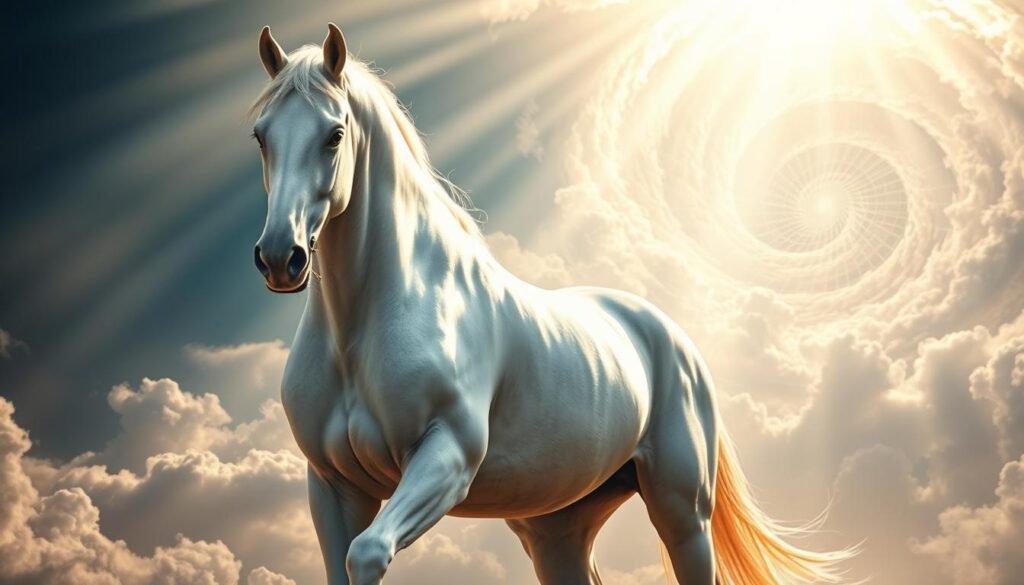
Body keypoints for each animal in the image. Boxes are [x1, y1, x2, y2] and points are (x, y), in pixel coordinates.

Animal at [248, 23, 854, 585]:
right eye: (260, 136)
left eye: (334, 134)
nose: (281, 258)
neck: (366, 326)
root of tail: (673, 339)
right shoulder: (334, 486)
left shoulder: (447, 458)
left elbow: (368, 552)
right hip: (556, 526)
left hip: (682, 514)